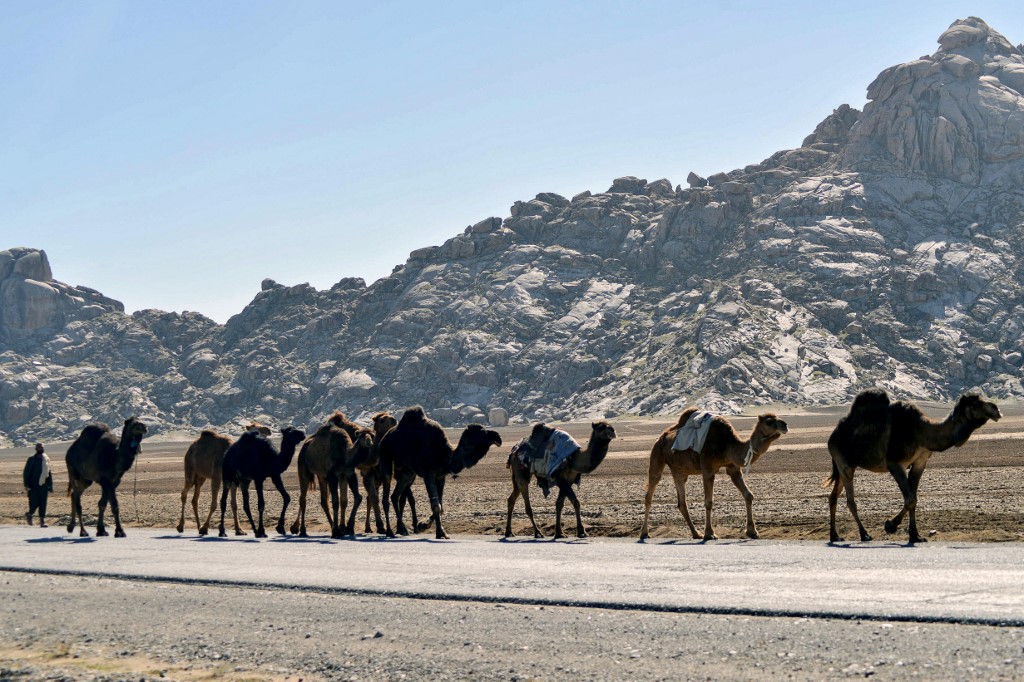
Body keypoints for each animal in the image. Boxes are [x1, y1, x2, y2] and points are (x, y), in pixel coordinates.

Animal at [380, 407, 502, 539]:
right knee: (386, 496)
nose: (498, 437)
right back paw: (390, 531)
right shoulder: (428, 473)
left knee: (395, 496)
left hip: (407, 472)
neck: (445, 456)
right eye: (483, 433)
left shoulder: (440, 476)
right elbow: (436, 505)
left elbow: (441, 506)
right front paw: (429, 528)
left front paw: (430, 528)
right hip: (386, 458)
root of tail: (384, 439)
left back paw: (402, 529)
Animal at [640, 409, 788, 541]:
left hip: (679, 471)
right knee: (650, 493)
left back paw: (696, 534)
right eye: (769, 421)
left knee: (682, 503)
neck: (727, 445)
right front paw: (710, 533)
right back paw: (644, 533)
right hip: (656, 457)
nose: (785, 425)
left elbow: (748, 495)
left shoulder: (733, 468)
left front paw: (752, 531)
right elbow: (709, 502)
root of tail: (661, 437)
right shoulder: (707, 469)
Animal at [826, 389, 1001, 544]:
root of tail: (832, 437)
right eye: (976, 403)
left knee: (833, 497)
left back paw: (835, 536)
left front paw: (915, 536)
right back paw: (864, 534)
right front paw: (890, 525)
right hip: (844, 463)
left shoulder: (919, 463)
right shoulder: (895, 463)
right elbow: (910, 499)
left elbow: (914, 498)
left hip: (843, 467)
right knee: (850, 501)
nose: (996, 409)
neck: (921, 432)